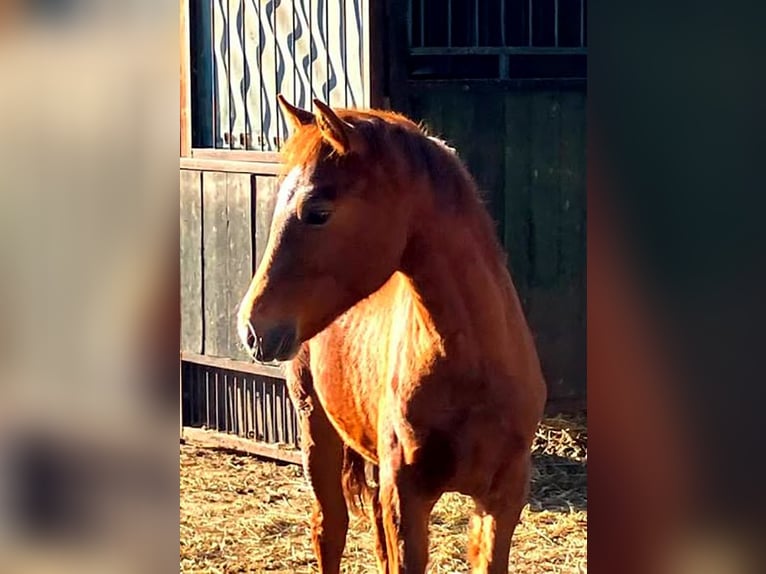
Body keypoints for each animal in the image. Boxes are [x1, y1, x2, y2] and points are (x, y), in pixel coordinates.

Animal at [237, 96, 547, 573]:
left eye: (317, 212)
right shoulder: (406, 498)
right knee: (330, 528)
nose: (252, 329)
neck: (473, 370)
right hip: (316, 430)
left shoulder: (502, 499)